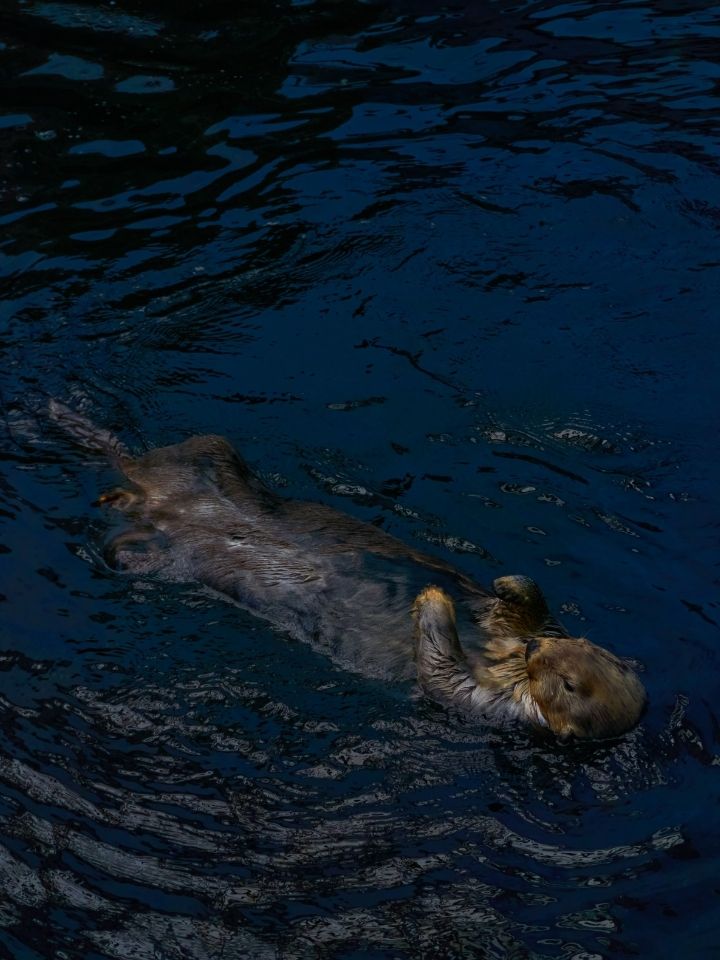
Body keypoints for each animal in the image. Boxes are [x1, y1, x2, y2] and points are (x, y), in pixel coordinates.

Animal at [50, 402, 648, 740]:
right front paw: (507, 587)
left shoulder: (484, 707)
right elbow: (527, 605)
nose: (533, 651)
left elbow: (440, 673)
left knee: (123, 539)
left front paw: (434, 600)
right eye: (573, 650)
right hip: (207, 455)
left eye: (567, 682)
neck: (507, 664)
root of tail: (151, 493)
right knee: (182, 451)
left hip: (142, 549)